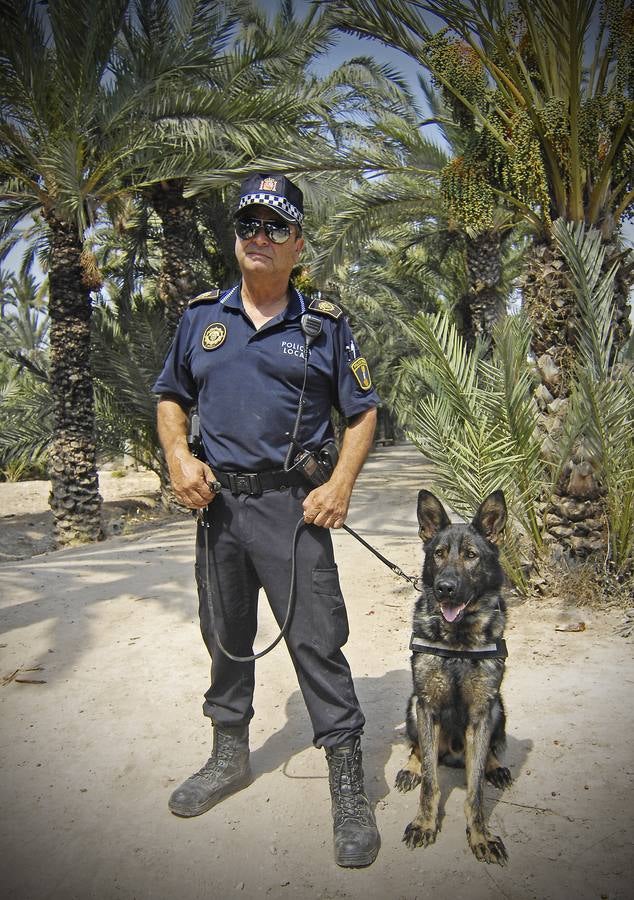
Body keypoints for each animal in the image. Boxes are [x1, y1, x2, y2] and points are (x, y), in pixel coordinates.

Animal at [398, 492, 512, 864]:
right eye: (438, 553)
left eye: (471, 556)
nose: (444, 589)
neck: (458, 641)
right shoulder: (428, 707)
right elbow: (431, 782)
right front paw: (424, 823)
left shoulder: (481, 713)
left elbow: (474, 790)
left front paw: (480, 835)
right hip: (413, 704)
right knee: (419, 749)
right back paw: (411, 767)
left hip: (499, 708)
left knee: (488, 751)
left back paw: (495, 766)